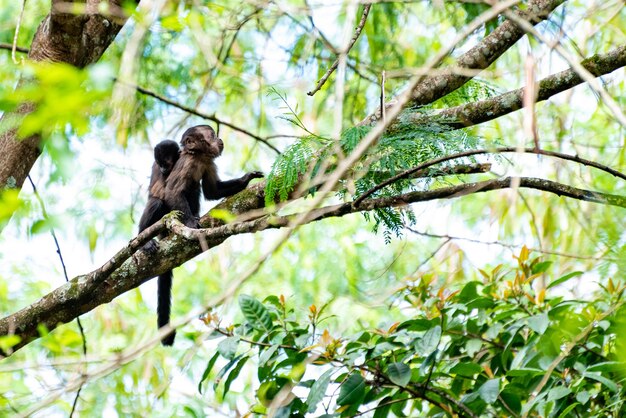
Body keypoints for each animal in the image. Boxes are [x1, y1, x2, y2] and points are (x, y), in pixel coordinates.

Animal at [138, 125, 262, 346]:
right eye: (211, 136)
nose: (219, 139)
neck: (198, 156)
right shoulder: (187, 162)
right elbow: (171, 192)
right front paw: (189, 222)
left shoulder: (207, 162)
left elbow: (212, 190)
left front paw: (246, 179)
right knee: (158, 201)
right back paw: (143, 240)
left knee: (194, 188)